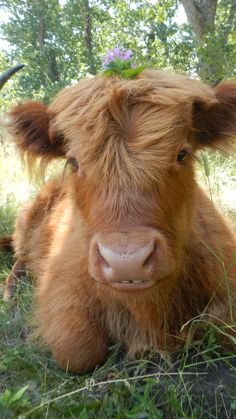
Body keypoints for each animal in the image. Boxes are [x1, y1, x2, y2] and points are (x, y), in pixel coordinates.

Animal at [2, 69, 236, 374]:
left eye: (182, 154)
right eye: (74, 161)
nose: (127, 261)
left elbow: (222, 326)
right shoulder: (60, 292)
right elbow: (77, 350)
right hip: (26, 224)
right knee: (20, 256)